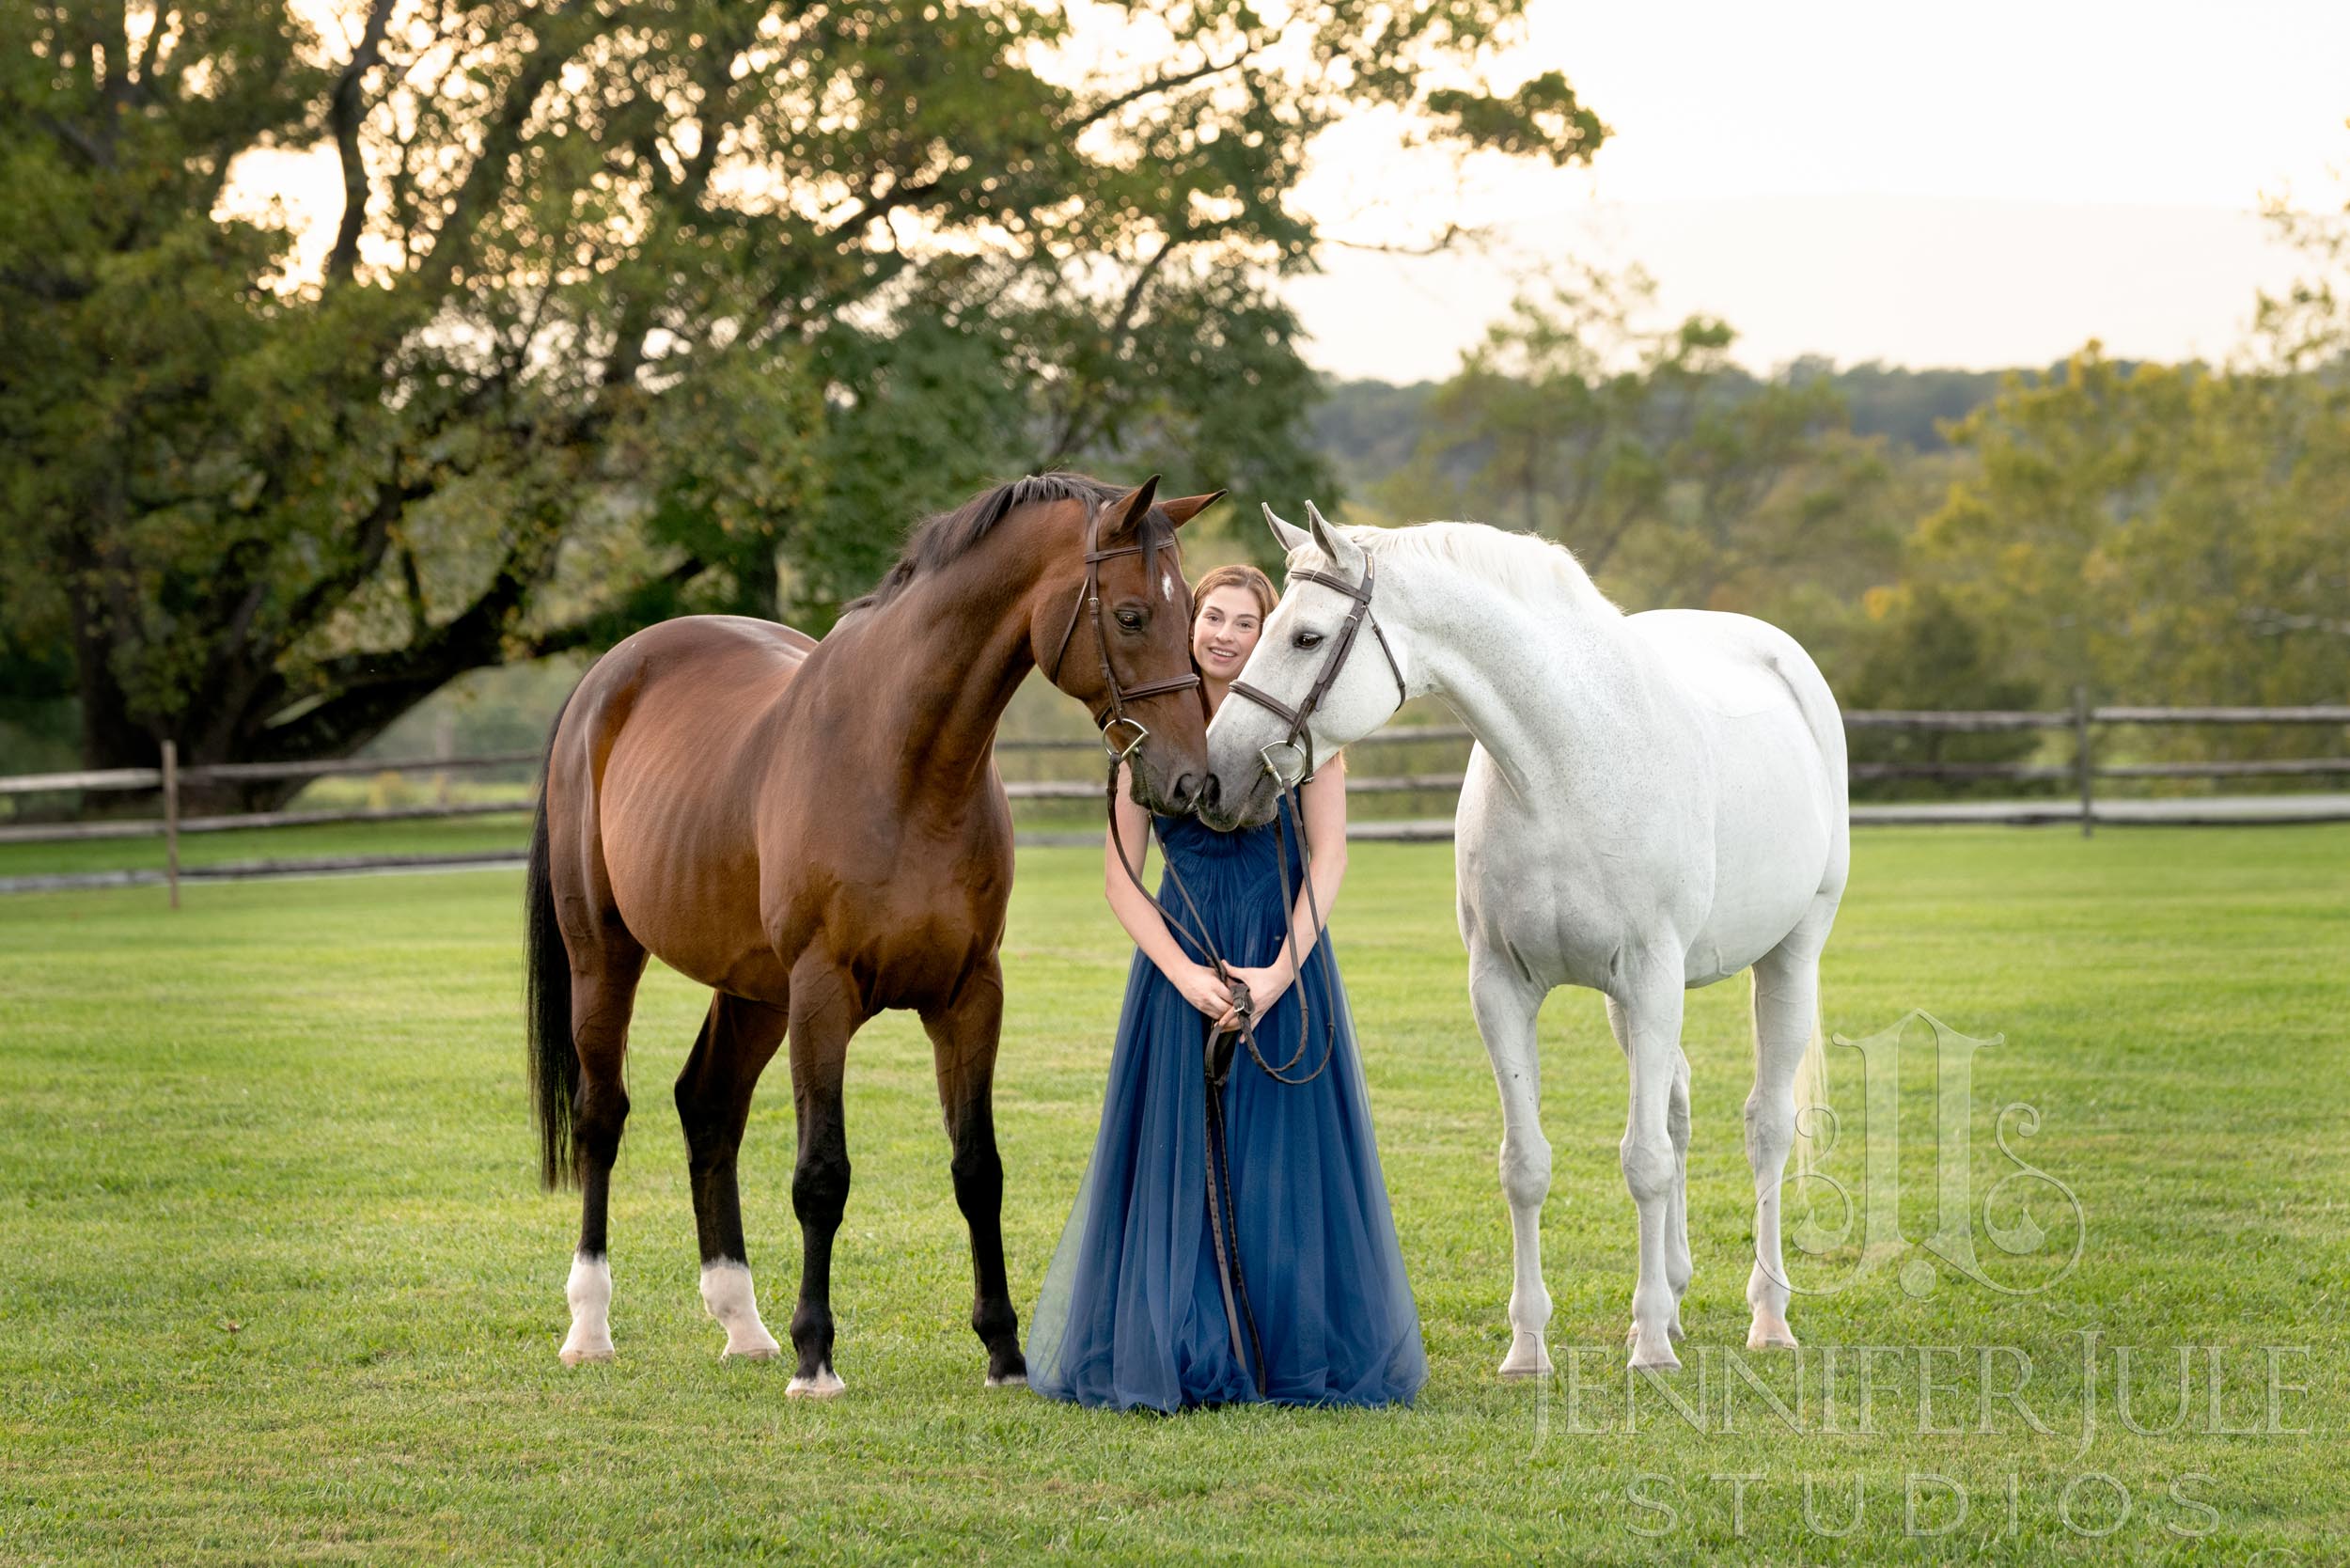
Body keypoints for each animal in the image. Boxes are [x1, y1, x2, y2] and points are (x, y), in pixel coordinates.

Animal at [523, 473, 1224, 1396]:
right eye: (1135, 615)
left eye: (1194, 616)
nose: (1191, 783)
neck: (904, 764)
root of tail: (604, 680)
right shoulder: (822, 994)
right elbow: (822, 1176)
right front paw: (817, 1356)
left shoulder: (970, 996)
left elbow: (978, 1171)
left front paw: (1003, 1353)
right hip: (606, 956)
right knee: (603, 1117)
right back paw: (591, 1325)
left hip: (754, 992)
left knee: (708, 1108)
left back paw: (742, 1323)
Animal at [1201, 503, 1844, 1375]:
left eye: (1305, 636)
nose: (1216, 777)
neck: (1565, 768)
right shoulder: (1504, 989)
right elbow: (1527, 1165)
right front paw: (1530, 1346)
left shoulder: (1651, 978)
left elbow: (1643, 1163)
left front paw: (1648, 1348)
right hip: (1632, 1007)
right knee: (1676, 1106)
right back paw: (1675, 1293)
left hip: (1787, 958)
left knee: (1766, 1127)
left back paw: (1766, 1315)